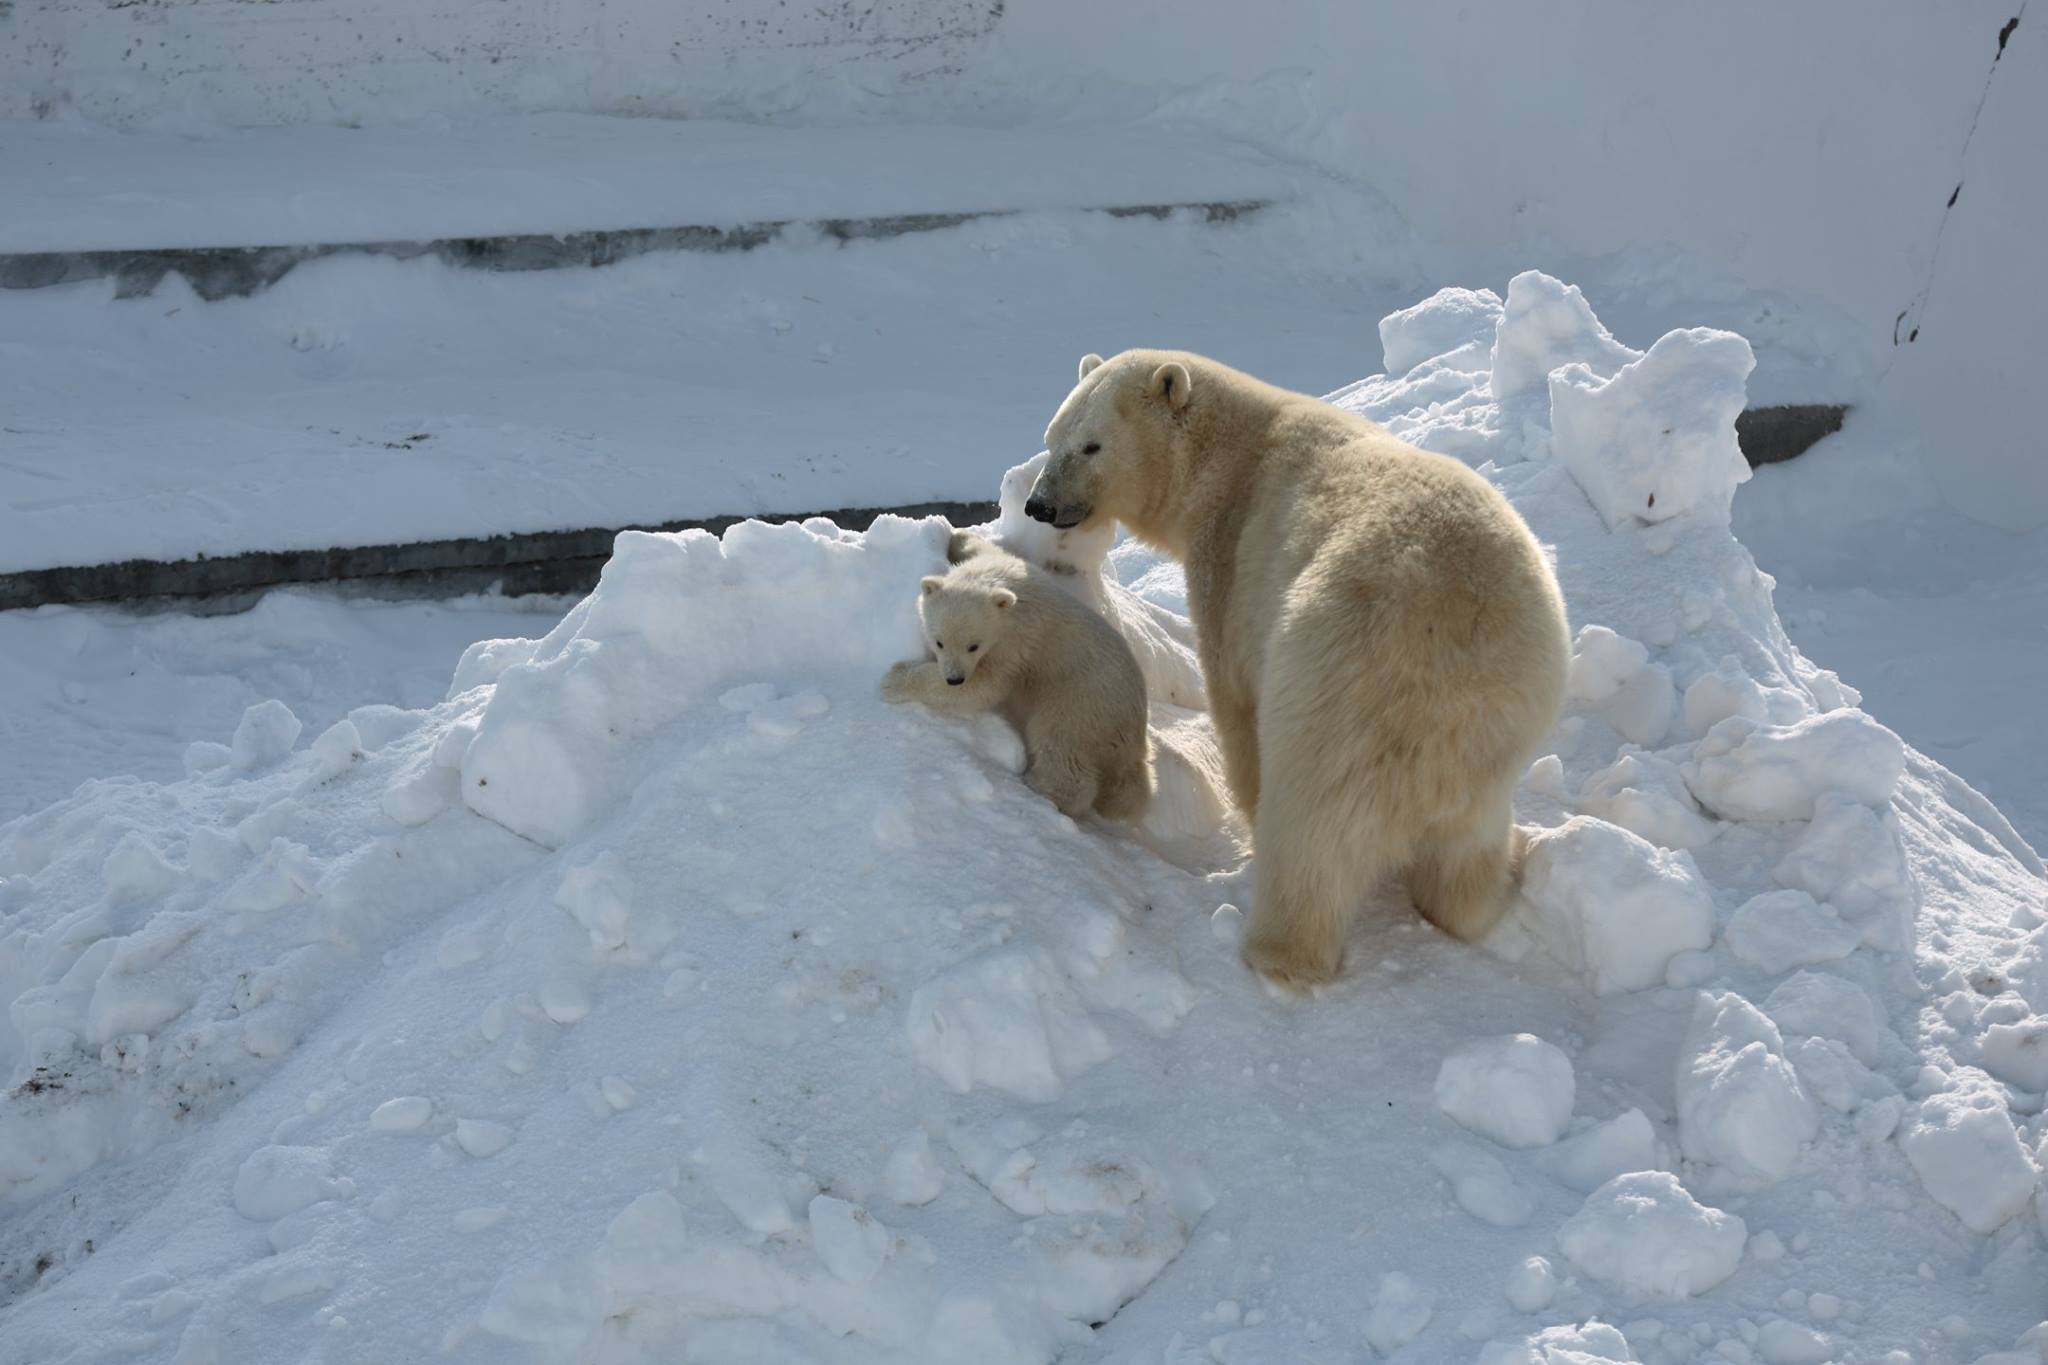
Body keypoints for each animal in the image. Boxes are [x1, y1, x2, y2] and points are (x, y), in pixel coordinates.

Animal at [880, 532, 1155, 822]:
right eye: (939, 642)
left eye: (973, 646)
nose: (954, 678)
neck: (1009, 596)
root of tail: (1135, 740)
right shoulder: (1005, 568)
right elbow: (987, 549)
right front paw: (957, 537)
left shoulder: (1014, 643)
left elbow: (986, 685)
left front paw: (894, 680)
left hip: (1080, 703)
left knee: (1059, 746)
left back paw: (1040, 786)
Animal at [1024, 349, 1564, 994]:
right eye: (1052, 437)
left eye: (1091, 446)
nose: (1038, 505)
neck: (1231, 454)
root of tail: (1459, 658)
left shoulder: (1232, 563)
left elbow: (1234, 699)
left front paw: (1247, 812)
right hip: (1502, 732)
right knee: (1467, 846)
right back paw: (1497, 884)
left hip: (1339, 682)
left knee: (1312, 828)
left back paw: (1279, 951)